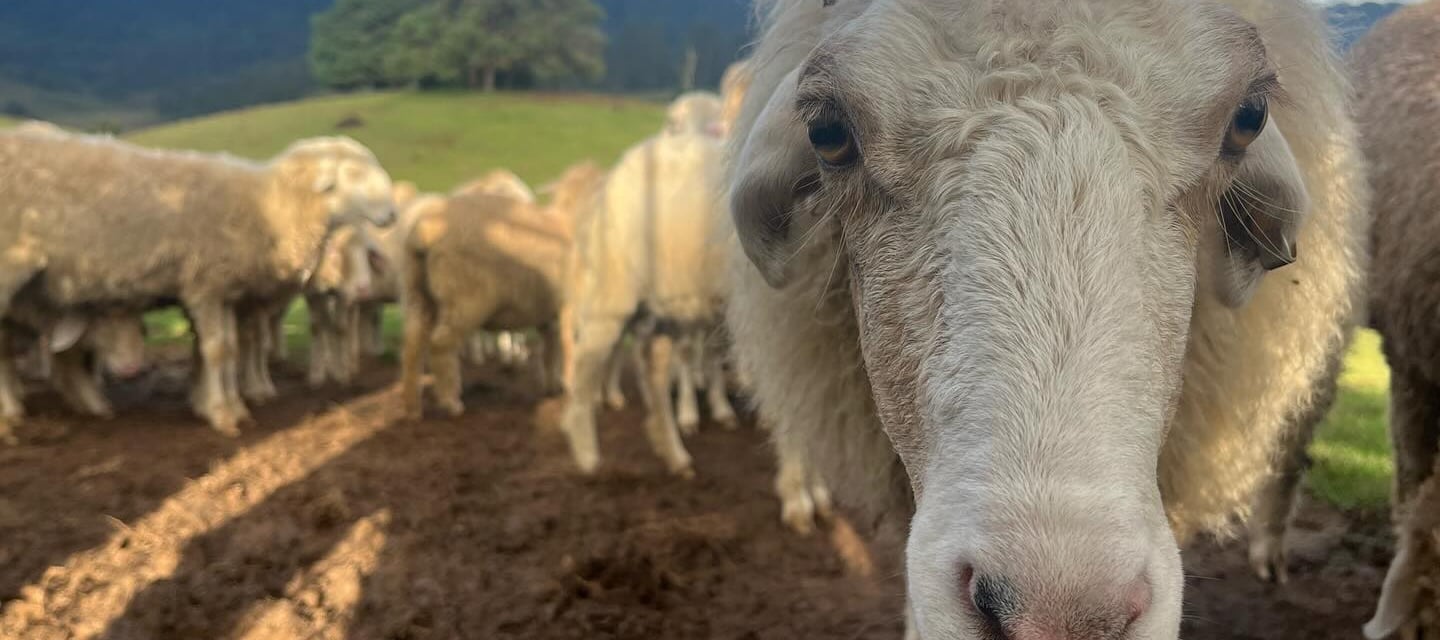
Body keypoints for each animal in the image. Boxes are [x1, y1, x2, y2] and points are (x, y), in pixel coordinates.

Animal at [0, 132, 397, 436]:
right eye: (352, 174)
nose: (392, 213)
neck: (268, 209)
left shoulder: (224, 291)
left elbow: (230, 348)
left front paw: (228, 406)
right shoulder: (204, 285)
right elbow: (216, 351)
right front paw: (222, 415)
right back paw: (10, 416)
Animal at [400, 162, 605, 419]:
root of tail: (425, 231)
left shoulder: (548, 313)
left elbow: (550, 349)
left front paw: (552, 388)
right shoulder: (570, 307)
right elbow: (569, 348)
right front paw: (572, 391)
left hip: (418, 293)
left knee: (412, 347)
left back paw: (412, 408)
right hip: (464, 299)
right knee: (440, 345)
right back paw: (450, 402)